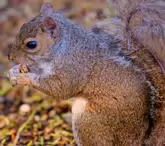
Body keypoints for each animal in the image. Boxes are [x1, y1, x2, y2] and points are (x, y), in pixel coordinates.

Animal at [7, 0, 165, 145]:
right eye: (22, 26)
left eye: (31, 44)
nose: (10, 57)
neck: (62, 47)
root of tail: (137, 140)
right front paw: (14, 71)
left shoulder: (73, 69)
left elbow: (60, 89)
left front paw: (24, 78)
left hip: (88, 120)